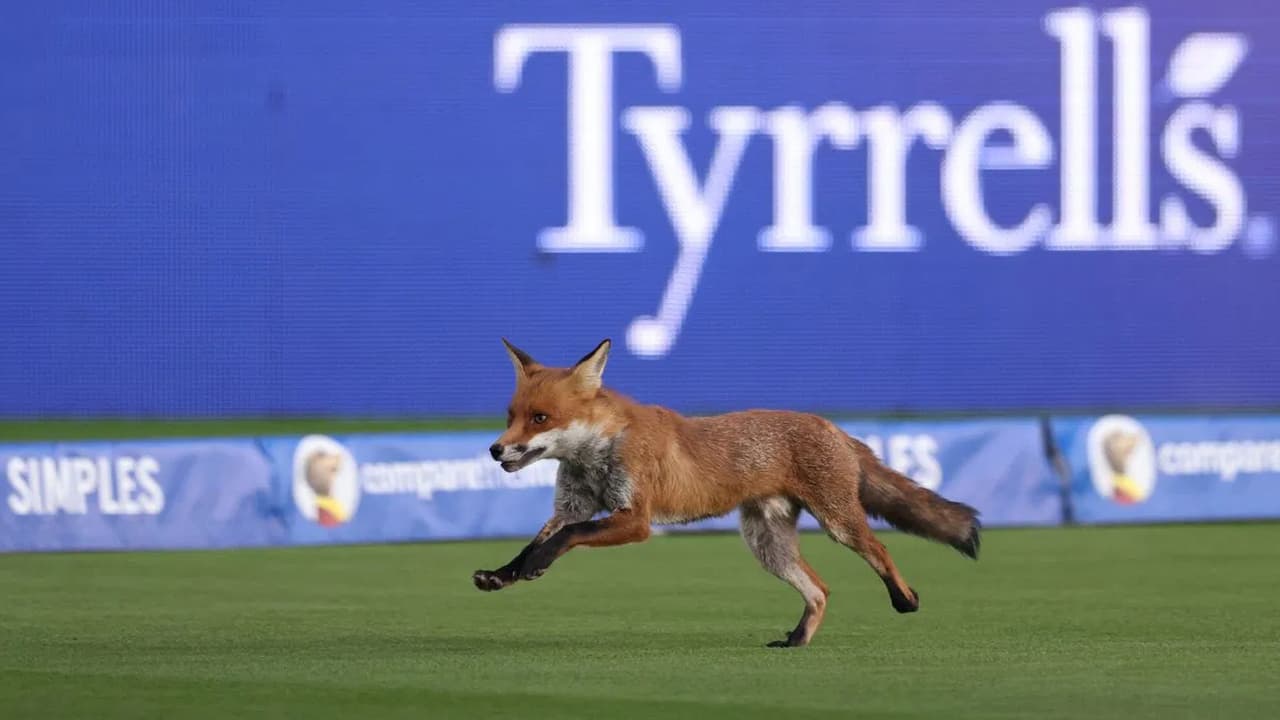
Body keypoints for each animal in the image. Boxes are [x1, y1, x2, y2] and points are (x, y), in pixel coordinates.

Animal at [473, 338, 981, 648]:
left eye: (540, 418)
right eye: (511, 415)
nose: (495, 450)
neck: (597, 454)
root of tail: (831, 426)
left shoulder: (634, 518)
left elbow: (567, 538)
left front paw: (535, 567)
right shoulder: (572, 506)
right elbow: (535, 542)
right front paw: (504, 574)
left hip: (838, 523)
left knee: (879, 550)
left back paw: (905, 598)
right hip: (767, 546)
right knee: (820, 590)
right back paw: (796, 641)